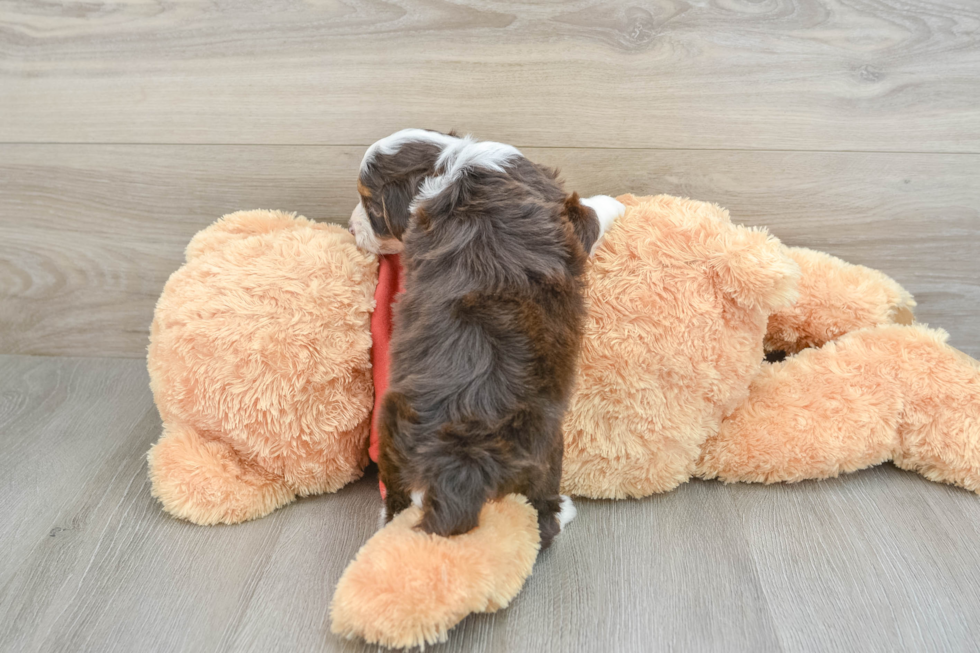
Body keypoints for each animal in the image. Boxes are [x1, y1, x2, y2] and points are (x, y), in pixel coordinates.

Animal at [352, 127, 624, 544]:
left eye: (370, 206)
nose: (352, 229)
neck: (449, 162)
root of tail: (456, 464)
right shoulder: (570, 215)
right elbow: (594, 211)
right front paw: (618, 203)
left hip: (392, 436)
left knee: (394, 499)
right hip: (545, 446)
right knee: (542, 515)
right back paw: (564, 510)